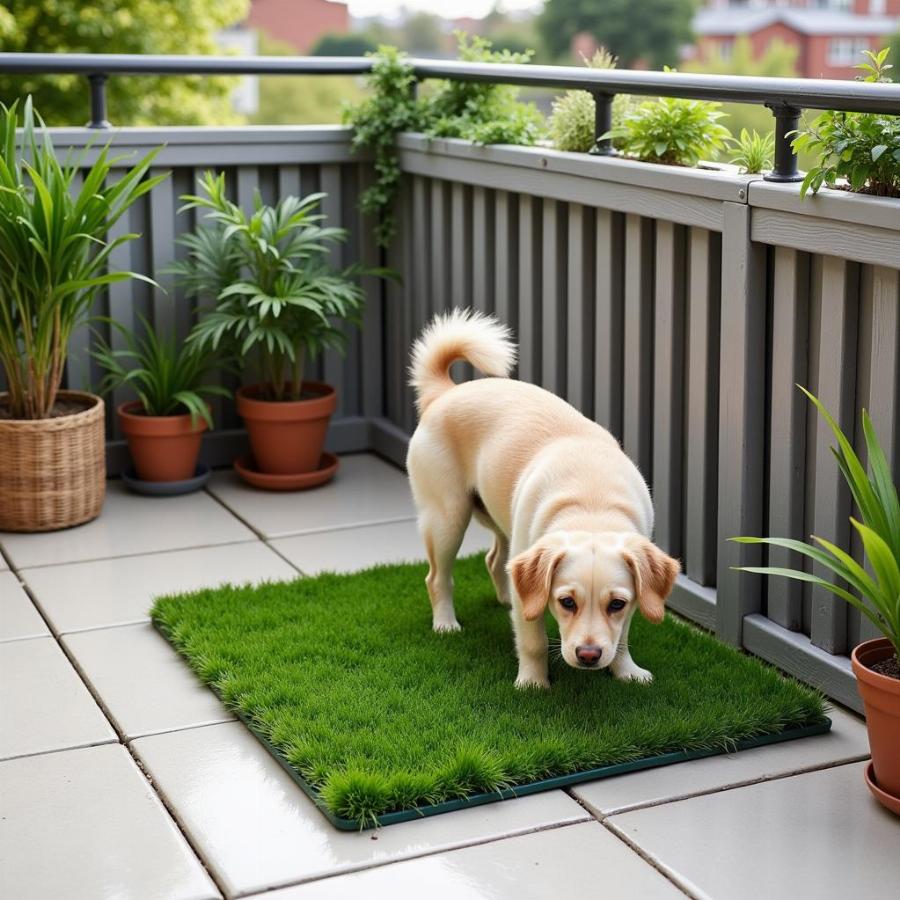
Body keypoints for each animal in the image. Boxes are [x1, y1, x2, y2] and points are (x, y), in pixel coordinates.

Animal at [404, 310, 680, 688]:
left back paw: (507, 598)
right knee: (437, 578)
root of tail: (445, 392)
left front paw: (627, 671)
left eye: (616, 605)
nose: (589, 656)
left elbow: (621, 638)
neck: (591, 504)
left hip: (502, 519)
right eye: (566, 602)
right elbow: (533, 641)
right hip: (447, 518)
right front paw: (534, 683)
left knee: (496, 561)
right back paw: (446, 623)